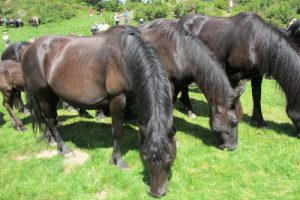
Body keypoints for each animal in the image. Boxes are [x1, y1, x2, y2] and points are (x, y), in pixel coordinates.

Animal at [22, 25, 176, 198]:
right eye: (146, 157)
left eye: (170, 157)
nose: (156, 192)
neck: (126, 57)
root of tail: (28, 49)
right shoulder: (117, 99)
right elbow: (117, 130)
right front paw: (116, 160)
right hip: (43, 94)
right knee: (50, 121)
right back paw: (64, 148)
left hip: (51, 95)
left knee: (50, 118)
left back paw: (51, 140)